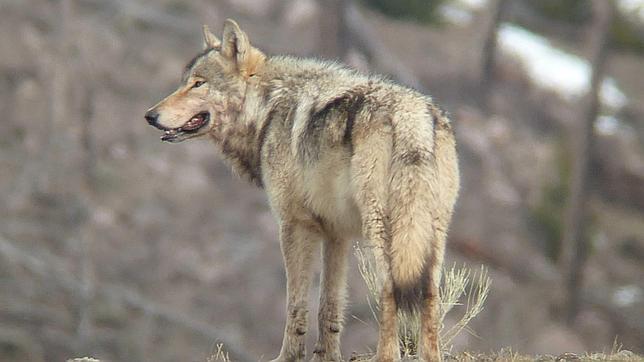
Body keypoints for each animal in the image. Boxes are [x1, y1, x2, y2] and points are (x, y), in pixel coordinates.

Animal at [145, 19, 458, 362]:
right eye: (184, 82)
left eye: (198, 84)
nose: (150, 116)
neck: (266, 110)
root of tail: (411, 114)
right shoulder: (336, 234)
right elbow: (329, 305)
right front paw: (327, 356)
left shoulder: (294, 225)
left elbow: (295, 303)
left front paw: (288, 356)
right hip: (430, 233)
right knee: (430, 292)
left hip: (382, 227)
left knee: (390, 288)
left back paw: (386, 356)